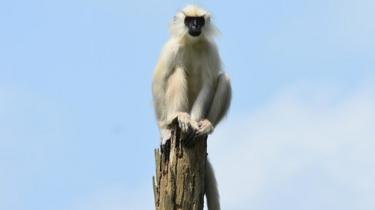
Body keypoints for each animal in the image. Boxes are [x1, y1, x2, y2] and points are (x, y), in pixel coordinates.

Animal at [151, 4, 231, 210]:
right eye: (189, 20)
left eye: (199, 21)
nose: (195, 26)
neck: (193, 43)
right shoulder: (170, 49)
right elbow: (159, 83)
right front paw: (165, 132)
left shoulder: (211, 49)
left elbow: (209, 84)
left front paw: (197, 126)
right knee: (177, 71)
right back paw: (178, 118)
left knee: (224, 79)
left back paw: (205, 126)